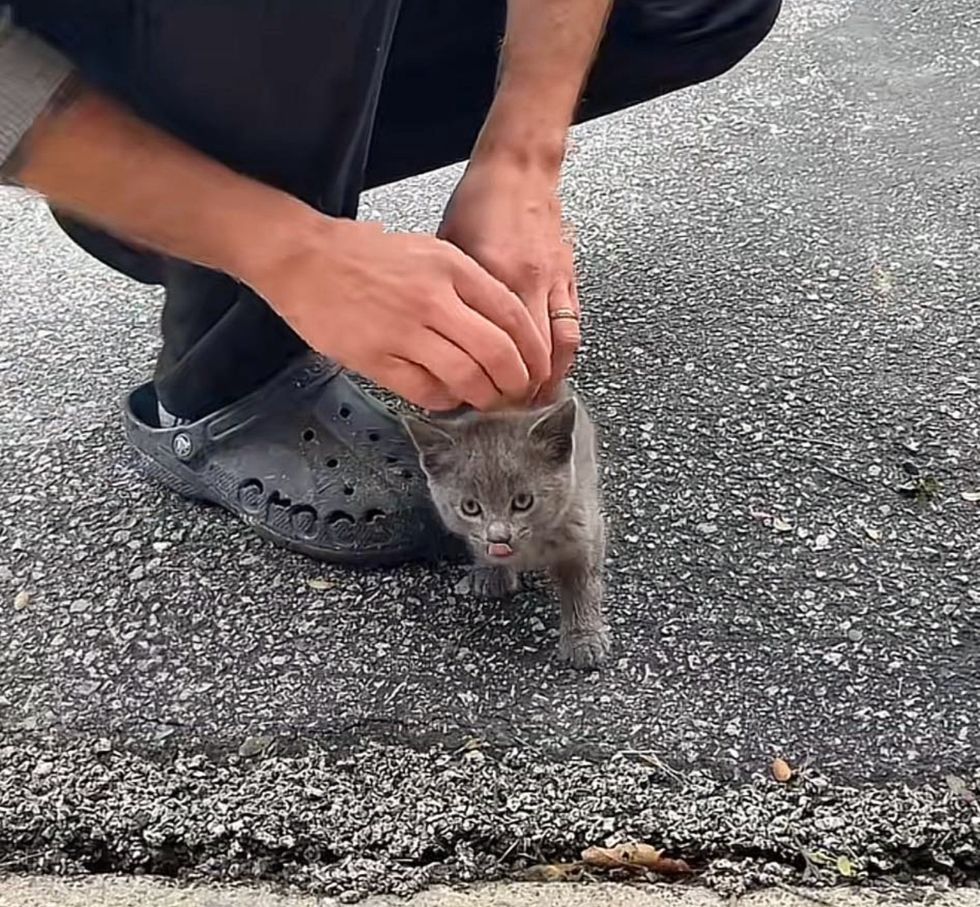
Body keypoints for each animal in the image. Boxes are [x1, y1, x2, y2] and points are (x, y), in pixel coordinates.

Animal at [402, 386, 608, 672]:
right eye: (470, 507)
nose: (498, 536)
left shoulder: (584, 528)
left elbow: (582, 585)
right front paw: (491, 571)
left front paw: (583, 639)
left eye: (523, 501)